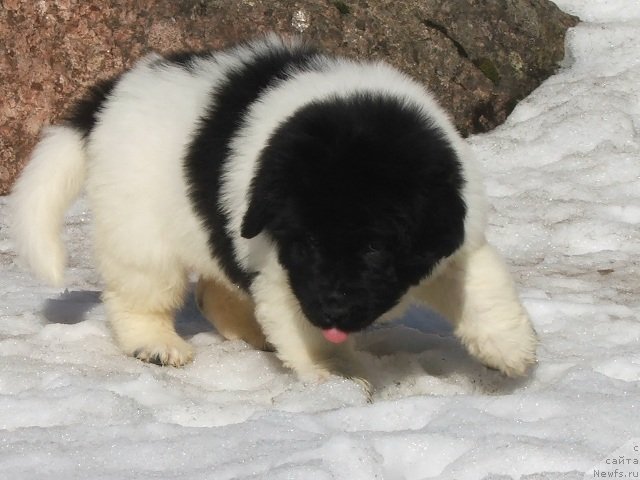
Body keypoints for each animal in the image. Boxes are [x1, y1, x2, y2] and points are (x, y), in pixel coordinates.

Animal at [12, 36, 536, 390]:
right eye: (306, 242)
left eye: (374, 247)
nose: (331, 309)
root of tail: (111, 94)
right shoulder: (281, 268)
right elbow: (299, 321)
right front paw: (333, 376)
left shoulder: (453, 233)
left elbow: (481, 284)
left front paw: (509, 347)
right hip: (140, 229)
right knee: (140, 294)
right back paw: (156, 344)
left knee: (215, 289)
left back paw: (253, 333)